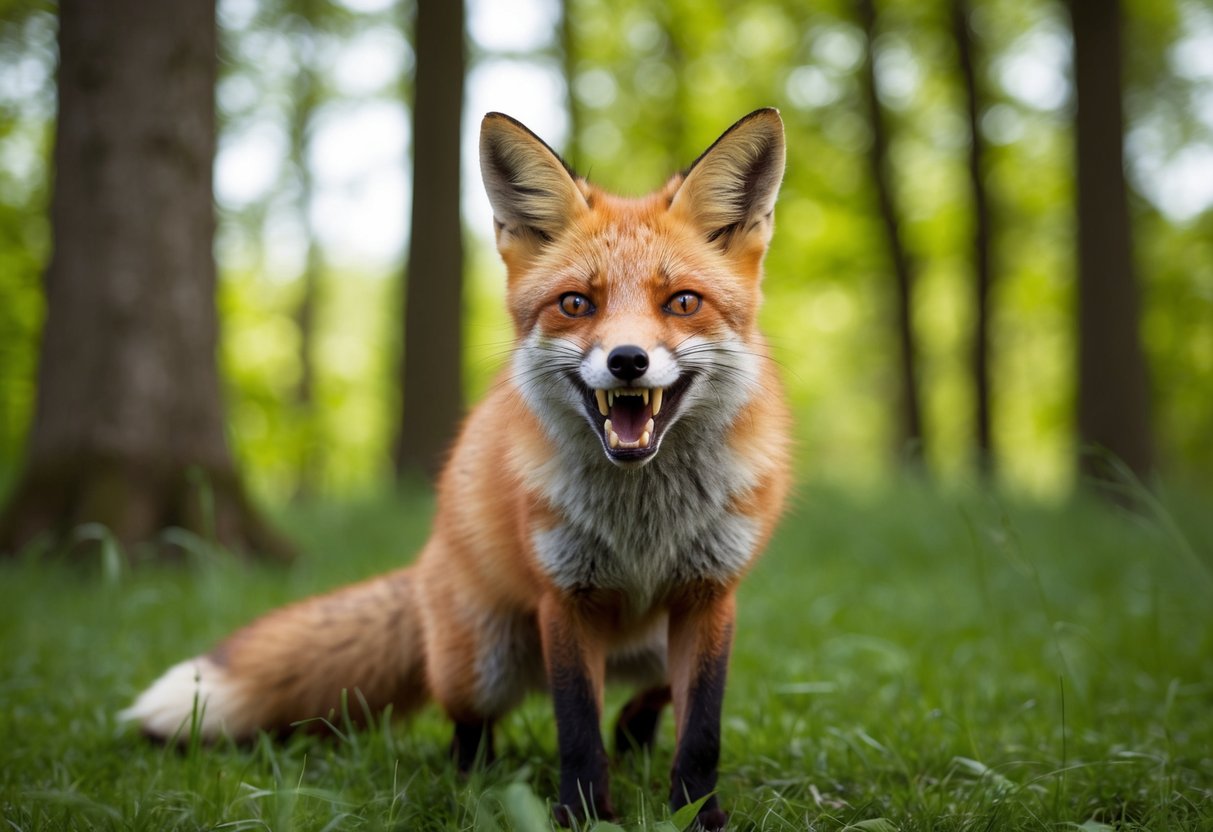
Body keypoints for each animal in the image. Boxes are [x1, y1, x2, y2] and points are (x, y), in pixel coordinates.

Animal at [123, 108, 791, 830]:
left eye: (683, 303)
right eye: (576, 304)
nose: (628, 361)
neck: (644, 523)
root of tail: (428, 562)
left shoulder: (709, 597)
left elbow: (701, 732)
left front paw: (697, 816)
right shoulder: (564, 598)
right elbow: (576, 727)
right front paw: (581, 815)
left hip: (667, 641)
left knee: (650, 699)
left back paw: (632, 740)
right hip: (482, 664)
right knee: (469, 726)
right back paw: (478, 780)